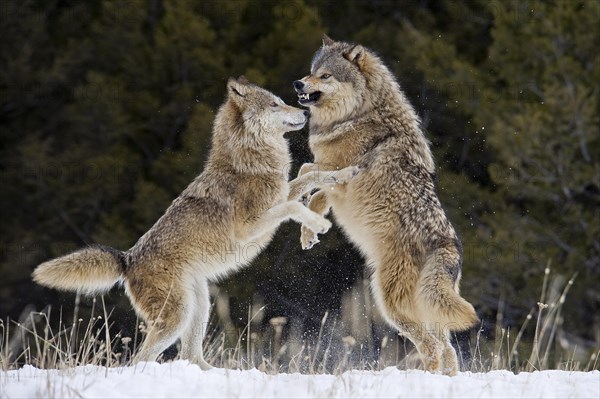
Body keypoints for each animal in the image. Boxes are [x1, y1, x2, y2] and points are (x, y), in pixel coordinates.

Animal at [32, 76, 358, 370]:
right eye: (275, 104)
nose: (306, 113)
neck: (249, 160)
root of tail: (127, 260)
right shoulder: (251, 226)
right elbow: (295, 202)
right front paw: (319, 224)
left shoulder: (280, 194)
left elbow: (311, 175)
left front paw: (345, 175)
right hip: (177, 316)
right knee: (140, 360)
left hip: (200, 306)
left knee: (189, 355)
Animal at [292, 36, 478, 376]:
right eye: (312, 71)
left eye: (325, 76)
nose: (298, 83)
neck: (356, 115)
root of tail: (448, 246)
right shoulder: (335, 183)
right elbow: (312, 186)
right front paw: (309, 227)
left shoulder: (339, 174)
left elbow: (308, 174)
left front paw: (303, 213)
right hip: (428, 312)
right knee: (446, 349)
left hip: (390, 304)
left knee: (431, 348)